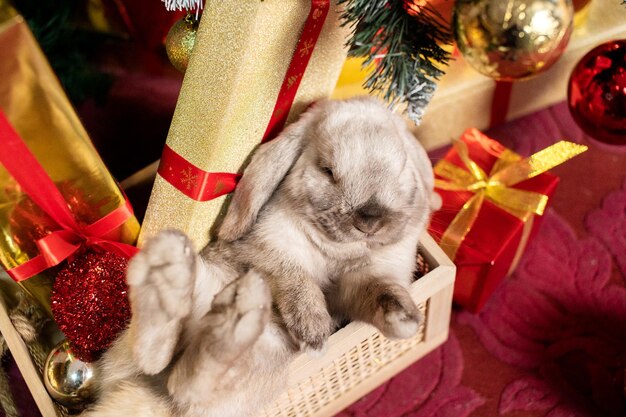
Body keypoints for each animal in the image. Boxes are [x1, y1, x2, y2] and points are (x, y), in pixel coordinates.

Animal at [80, 97, 436, 416]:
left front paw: (405, 320)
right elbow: (295, 279)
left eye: (401, 167)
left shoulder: (365, 280)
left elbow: (378, 291)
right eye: (327, 170)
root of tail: (150, 398)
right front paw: (314, 330)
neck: (337, 247)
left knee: (181, 380)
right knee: (172, 373)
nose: (369, 218)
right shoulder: (267, 251)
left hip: (259, 363)